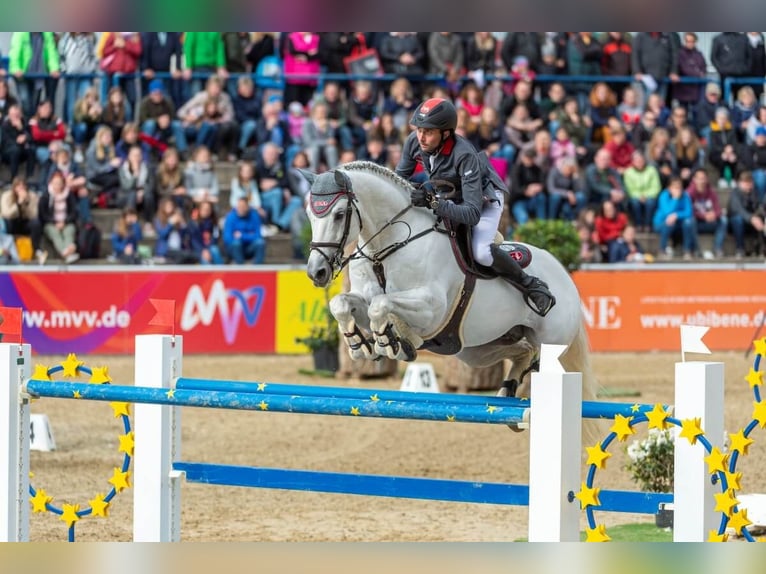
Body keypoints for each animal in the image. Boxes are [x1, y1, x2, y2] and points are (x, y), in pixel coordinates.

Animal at [302, 160, 600, 408]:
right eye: (309, 214)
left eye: (339, 214)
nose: (317, 272)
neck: (389, 245)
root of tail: (566, 276)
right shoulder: (361, 299)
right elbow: (342, 303)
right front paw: (359, 344)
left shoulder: (430, 310)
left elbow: (381, 304)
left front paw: (389, 342)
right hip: (477, 349)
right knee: (522, 351)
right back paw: (507, 390)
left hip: (551, 340)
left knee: (542, 358)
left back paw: (539, 296)